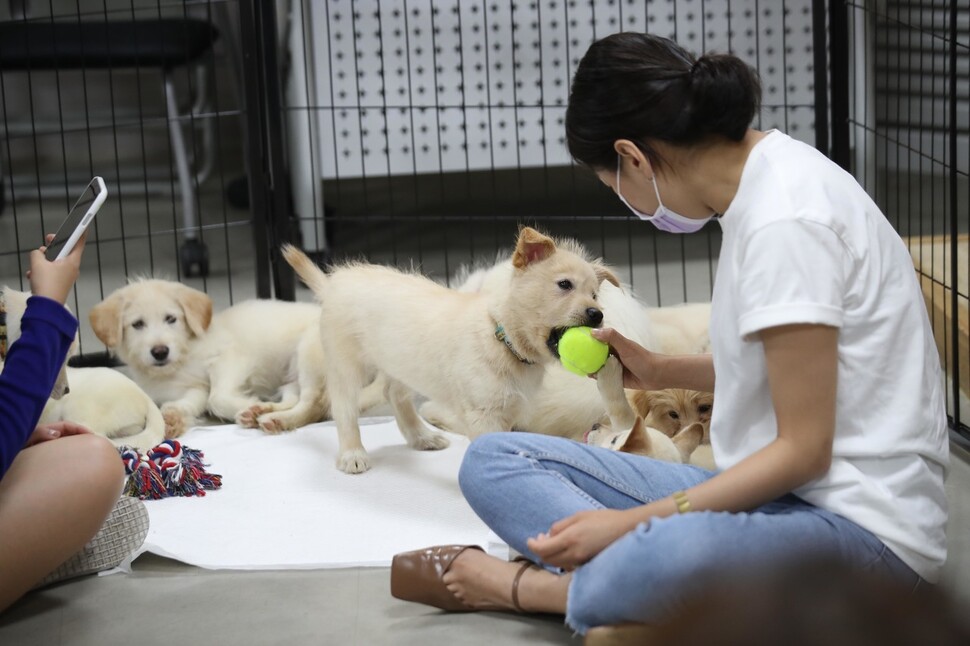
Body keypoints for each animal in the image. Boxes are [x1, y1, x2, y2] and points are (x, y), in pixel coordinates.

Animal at [89, 280, 212, 438]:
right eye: (137, 324)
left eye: (170, 318)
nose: (160, 352)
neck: (162, 375)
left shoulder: (199, 386)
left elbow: (191, 399)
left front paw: (172, 418)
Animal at [284, 228, 616, 476]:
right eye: (564, 284)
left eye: (595, 295)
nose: (597, 314)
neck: (501, 337)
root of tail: (333, 283)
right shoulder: (484, 415)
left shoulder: (509, 412)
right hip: (347, 365)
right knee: (342, 408)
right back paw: (352, 453)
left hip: (400, 362)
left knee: (395, 394)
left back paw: (421, 436)